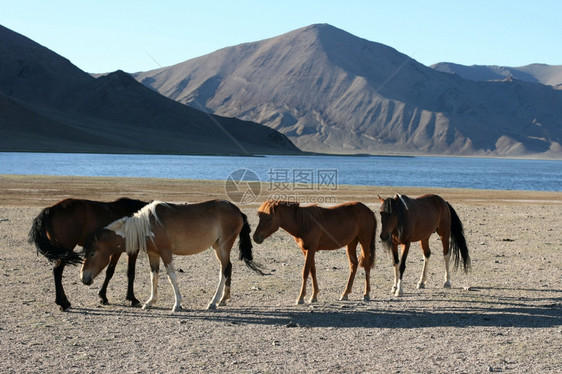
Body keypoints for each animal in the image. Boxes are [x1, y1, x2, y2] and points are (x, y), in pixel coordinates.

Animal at [80, 200, 262, 312]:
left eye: (92, 253)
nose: (84, 278)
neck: (147, 225)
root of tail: (237, 211)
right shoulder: (153, 254)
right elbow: (154, 276)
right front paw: (150, 302)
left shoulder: (166, 252)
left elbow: (171, 276)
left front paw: (177, 304)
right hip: (218, 247)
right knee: (227, 268)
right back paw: (223, 299)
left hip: (223, 247)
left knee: (224, 270)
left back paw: (213, 302)